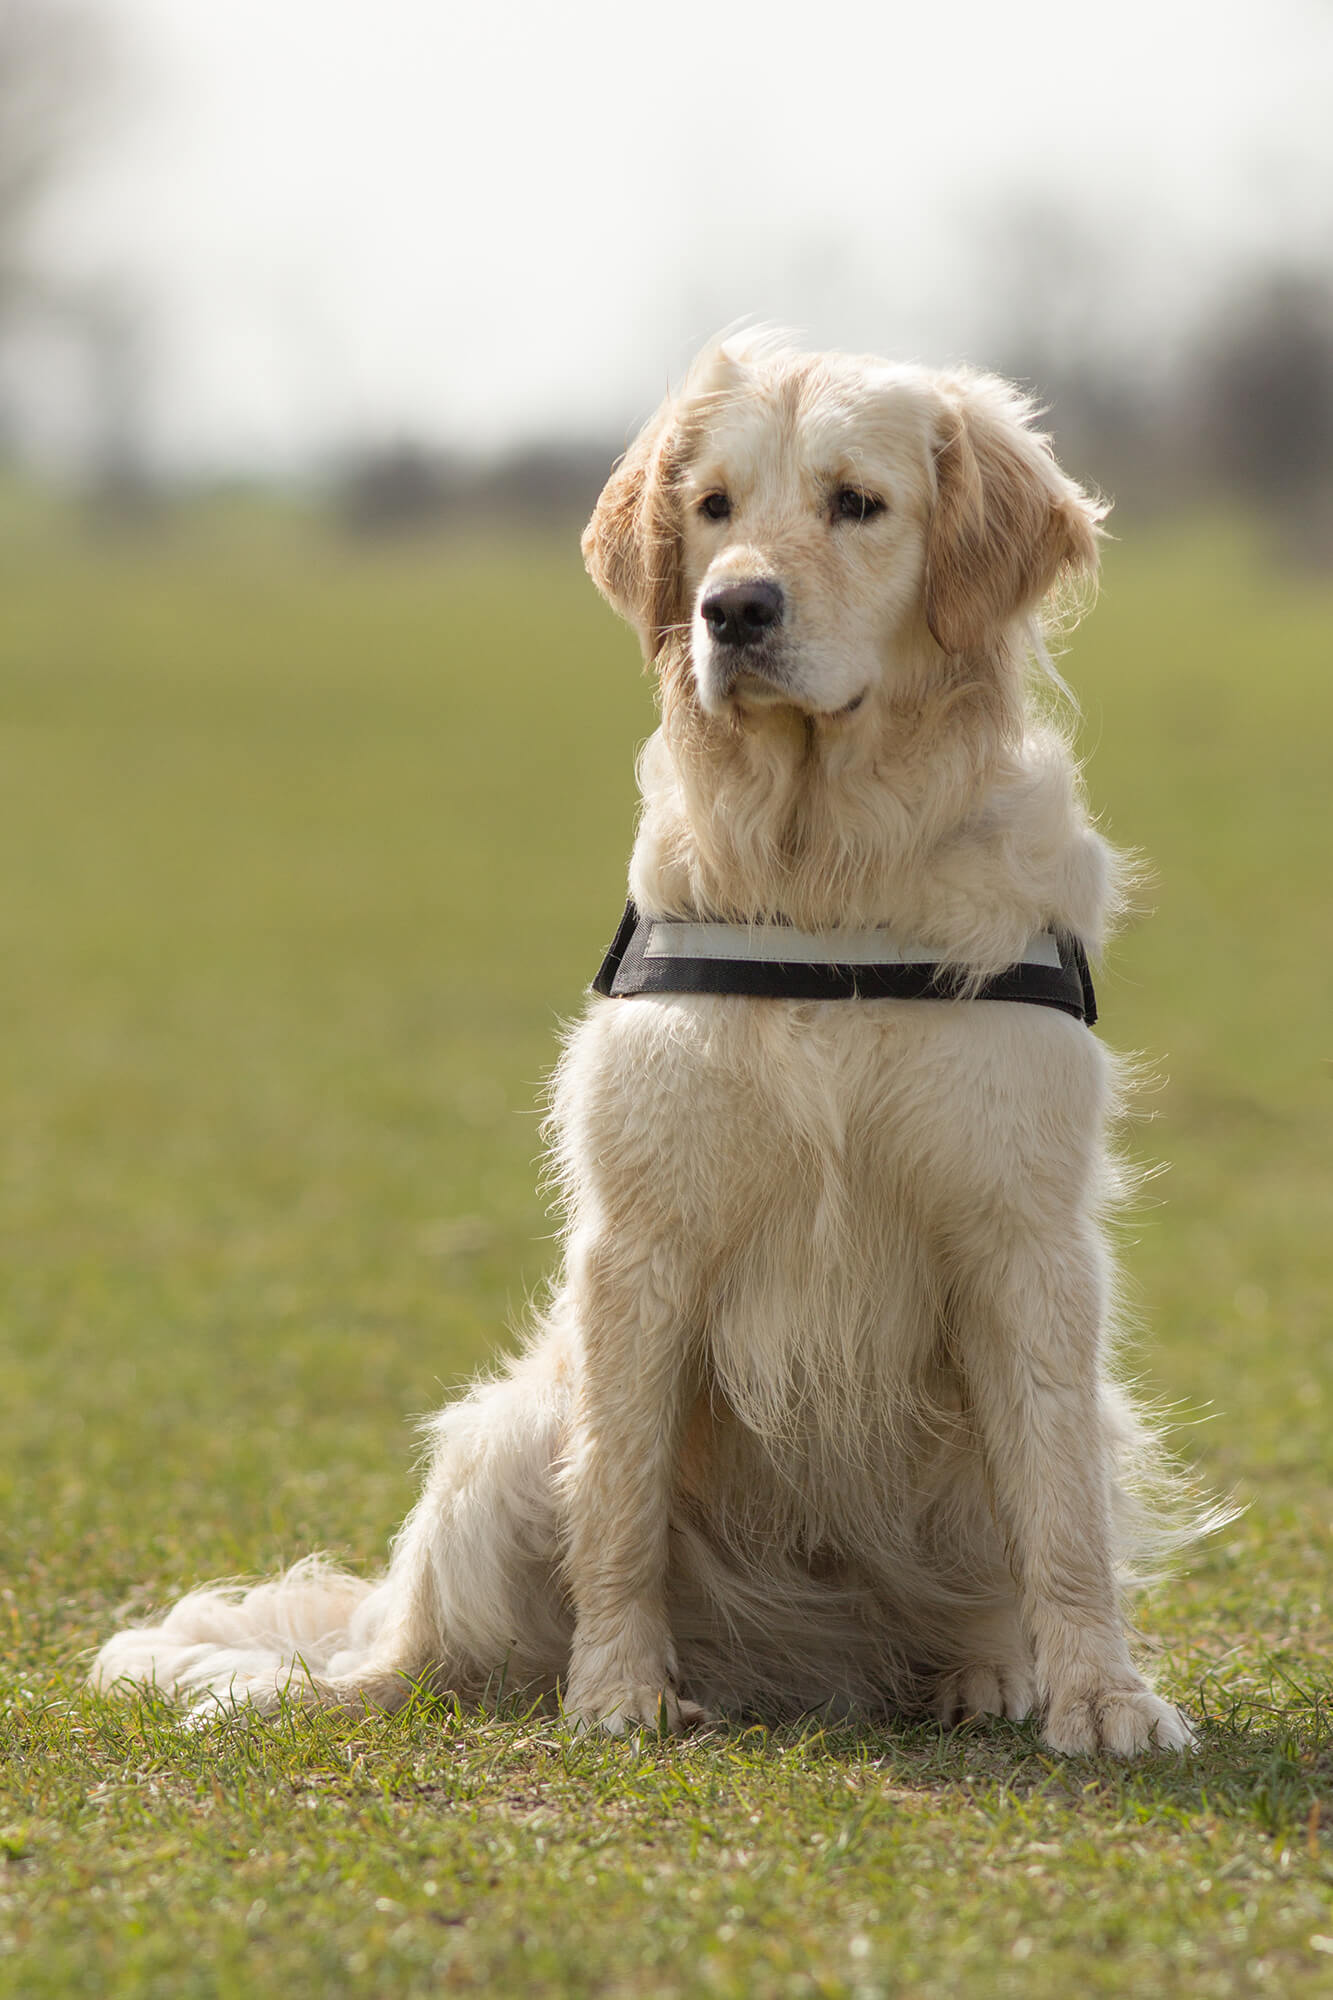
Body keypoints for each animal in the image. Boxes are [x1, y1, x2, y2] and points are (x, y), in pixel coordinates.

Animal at [91, 336, 1192, 1760]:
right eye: (711, 507)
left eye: (856, 502)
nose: (733, 611)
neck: (826, 873)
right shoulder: (640, 1241)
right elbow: (616, 1502)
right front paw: (616, 1688)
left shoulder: (1026, 1237)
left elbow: (1060, 1513)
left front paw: (1101, 1693)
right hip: (507, 1432)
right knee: (406, 1649)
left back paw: (983, 1668)